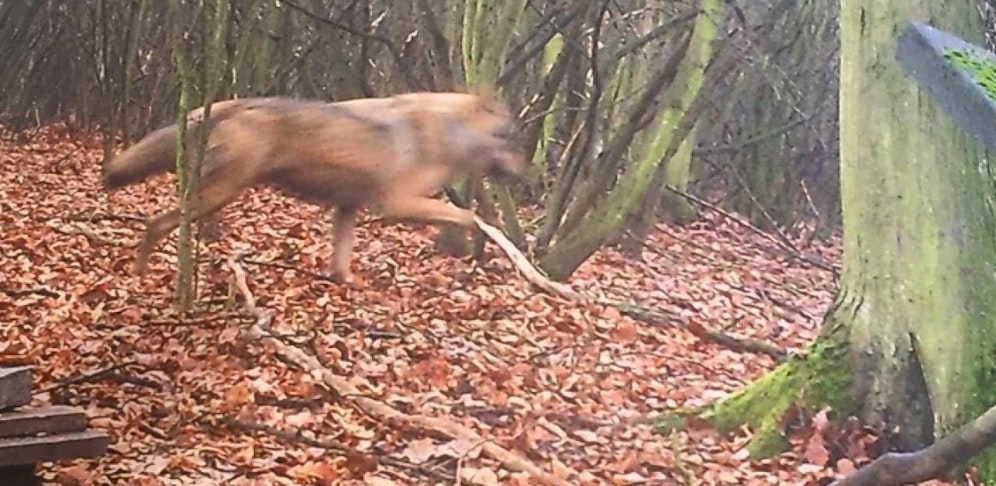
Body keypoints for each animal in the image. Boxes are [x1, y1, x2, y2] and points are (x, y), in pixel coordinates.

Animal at [102, 91, 525, 283]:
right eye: (508, 138)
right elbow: (466, 215)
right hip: (218, 194)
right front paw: (481, 240)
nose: (526, 172)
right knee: (155, 224)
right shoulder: (394, 203)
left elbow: (341, 260)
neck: (449, 132)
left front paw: (344, 283)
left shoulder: (347, 208)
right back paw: (139, 276)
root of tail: (228, 104)